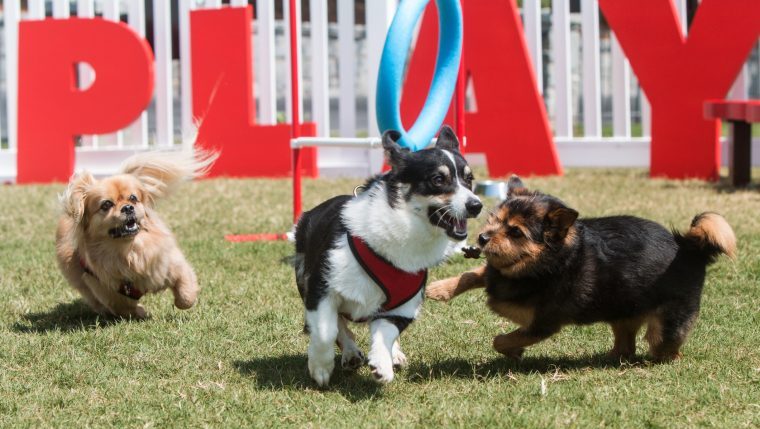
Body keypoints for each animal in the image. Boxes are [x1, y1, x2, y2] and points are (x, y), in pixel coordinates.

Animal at [55, 149, 215, 316]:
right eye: (106, 204)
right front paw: (142, 312)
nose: (127, 207)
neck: (130, 250)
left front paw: (181, 302)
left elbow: (186, 295)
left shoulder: (172, 264)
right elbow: (124, 308)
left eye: (133, 198)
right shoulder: (108, 292)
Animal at [296, 125, 480, 386]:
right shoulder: (321, 288)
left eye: (469, 179)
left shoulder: (403, 305)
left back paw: (393, 355)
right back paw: (350, 353)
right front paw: (320, 367)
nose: (476, 206)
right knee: (339, 325)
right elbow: (326, 330)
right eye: (438, 179)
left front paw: (382, 364)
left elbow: (386, 332)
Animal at [424, 176, 732, 360]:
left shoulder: (543, 324)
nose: (483, 238)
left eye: (515, 232)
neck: (543, 266)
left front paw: (513, 350)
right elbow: (473, 273)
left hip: (664, 327)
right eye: (494, 220)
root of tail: (690, 249)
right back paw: (610, 359)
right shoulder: (494, 273)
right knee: (625, 345)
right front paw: (439, 288)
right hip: (621, 313)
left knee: (665, 349)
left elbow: (502, 340)